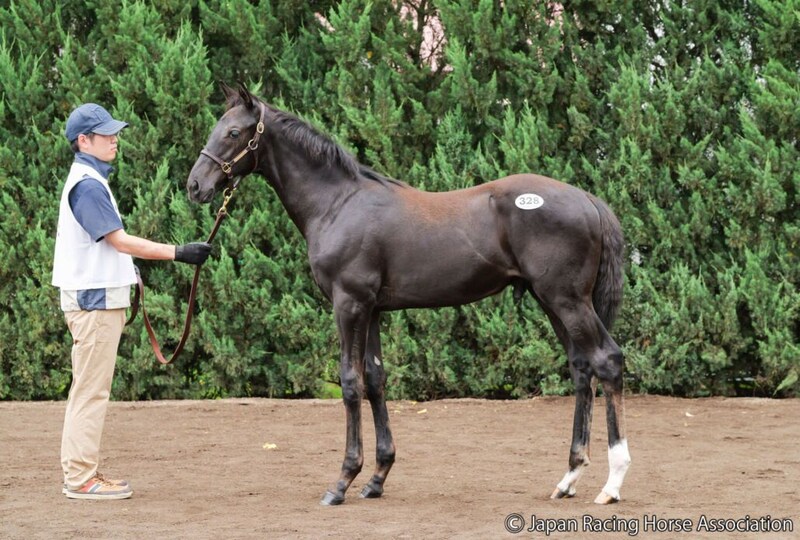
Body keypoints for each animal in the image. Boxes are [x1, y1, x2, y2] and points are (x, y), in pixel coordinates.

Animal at [186, 83, 631, 506]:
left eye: (233, 132)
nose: (195, 186)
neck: (338, 204)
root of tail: (588, 200)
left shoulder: (348, 305)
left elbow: (351, 382)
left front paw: (342, 481)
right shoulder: (373, 310)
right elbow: (376, 379)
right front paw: (376, 478)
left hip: (566, 300)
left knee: (607, 361)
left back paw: (611, 484)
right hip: (552, 301)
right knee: (582, 369)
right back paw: (568, 479)